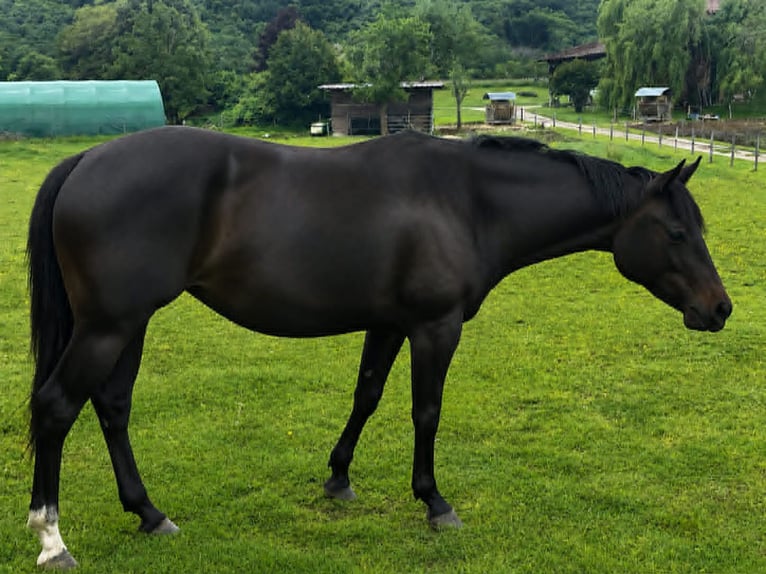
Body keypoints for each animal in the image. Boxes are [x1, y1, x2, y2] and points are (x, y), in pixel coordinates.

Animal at [26, 127, 731, 569]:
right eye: (675, 232)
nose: (719, 309)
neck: (466, 201)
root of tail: (86, 160)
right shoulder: (435, 327)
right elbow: (426, 412)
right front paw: (435, 502)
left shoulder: (388, 324)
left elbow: (365, 395)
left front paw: (338, 478)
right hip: (109, 325)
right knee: (57, 408)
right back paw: (52, 540)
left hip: (128, 324)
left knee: (112, 407)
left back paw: (149, 514)